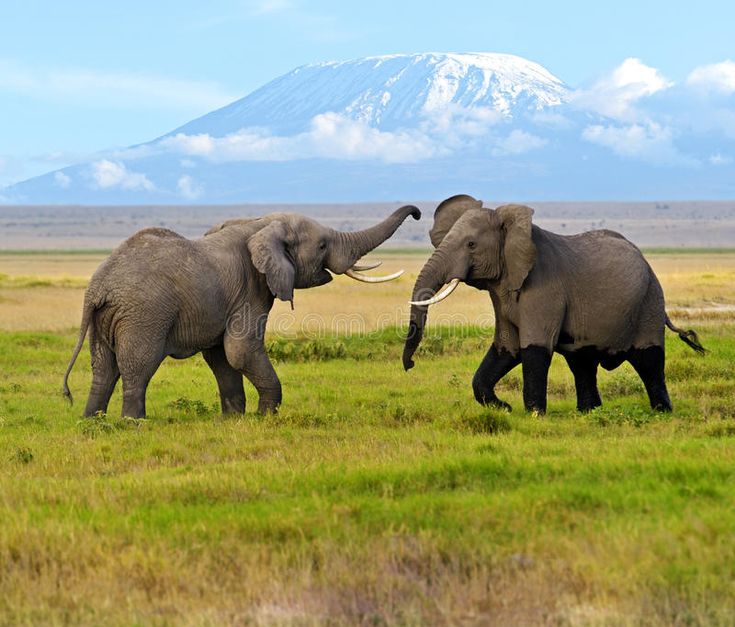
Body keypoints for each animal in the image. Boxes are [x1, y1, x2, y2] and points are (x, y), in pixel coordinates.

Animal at [63, 205, 421, 417]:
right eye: (321, 246)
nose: (417, 213)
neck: (260, 223)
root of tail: (98, 288)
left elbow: (221, 357)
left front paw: (234, 420)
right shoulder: (250, 289)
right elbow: (241, 350)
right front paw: (266, 417)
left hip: (105, 318)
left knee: (103, 368)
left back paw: (92, 422)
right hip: (144, 315)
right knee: (138, 366)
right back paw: (134, 423)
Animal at [402, 194, 704, 414]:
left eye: (471, 245)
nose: (411, 365)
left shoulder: (544, 288)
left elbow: (534, 348)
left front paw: (533, 415)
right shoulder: (502, 291)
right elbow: (506, 348)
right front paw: (504, 408)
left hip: (650, 300)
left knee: (649, 360)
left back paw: (662, 412)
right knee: (582, 363)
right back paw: (588, 413)